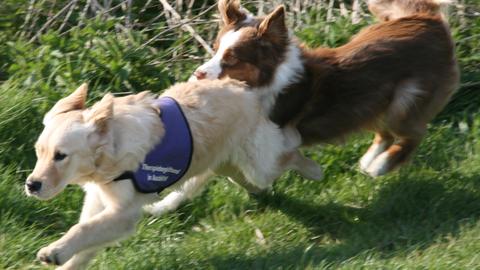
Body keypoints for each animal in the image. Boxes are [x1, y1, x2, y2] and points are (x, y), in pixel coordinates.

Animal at [23, 79, 322, 268]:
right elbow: (87, 238)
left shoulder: (123, 213)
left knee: (289, 151)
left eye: (61, 156)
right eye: (39, 152)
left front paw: (54, 251)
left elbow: (83, 228)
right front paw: (66, 259)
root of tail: (246, 90)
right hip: (226, 164)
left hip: (259, 164)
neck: (111, 147)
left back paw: (313, 169)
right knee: (233, 180)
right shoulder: (100, 200)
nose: (31, 185)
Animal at [190, 0, 458, 178]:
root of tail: (429, 20)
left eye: (232, 59)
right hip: (372, 104)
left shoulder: (279, 137)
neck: (270, 81)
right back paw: (369, 160)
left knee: (414, 134)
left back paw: (380, 166)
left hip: (404, 99)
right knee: (386, 134)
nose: (198, 74)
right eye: (215, 49)